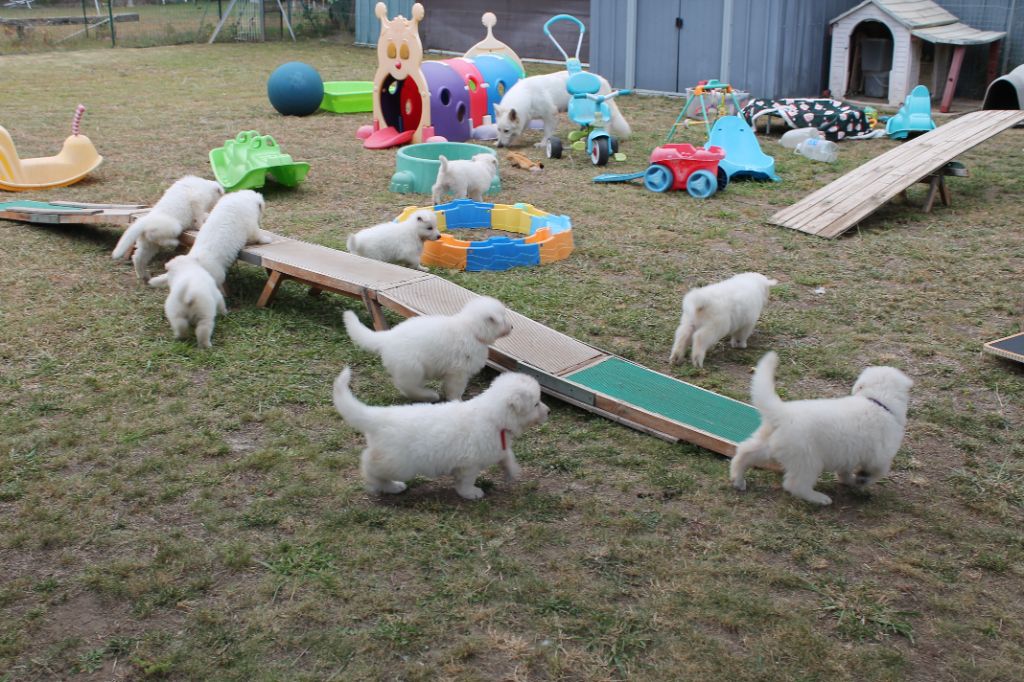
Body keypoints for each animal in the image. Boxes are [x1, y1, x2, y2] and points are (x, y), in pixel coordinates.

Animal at [331, 364, 548, 497]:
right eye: (536, 403)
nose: (549, 411)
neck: (494, 417)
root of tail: (378, 416)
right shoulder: (469, 464)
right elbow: (466, 481)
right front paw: (471, 493)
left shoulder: (497, 447)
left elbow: (507, 456)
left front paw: (512, 471)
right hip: (397, 463)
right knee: (370, 468)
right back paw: (390, 486)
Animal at [346, 296, 512, 401]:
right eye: (503, 318)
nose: (511, 327)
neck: (471, 329)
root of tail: (387, 337)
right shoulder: (458, 372)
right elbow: (456, 389)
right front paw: (457, 400)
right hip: (412, 368)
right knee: (407, 387)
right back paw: (430, 395)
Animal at [491, 69, 626, 146]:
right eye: (498, 129)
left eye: (506, 130)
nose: (499, 146)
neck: (528, 95)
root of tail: (603, 80)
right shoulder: (526, 117)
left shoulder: (550, 115)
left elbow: (547, 132)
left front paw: (543, 144)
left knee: (606, 124)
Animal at [733, 350, 917, 503]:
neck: (877, 401)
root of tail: (783, 414)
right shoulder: (880, 455)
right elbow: (877, 470)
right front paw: (862, 480)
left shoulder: (849, 454)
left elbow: (844, 471)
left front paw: (849, 481)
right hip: (808, 459)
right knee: (796, 485)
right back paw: (819, 498)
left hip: (768, 444)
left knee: (744, 452)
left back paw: (737, 479)